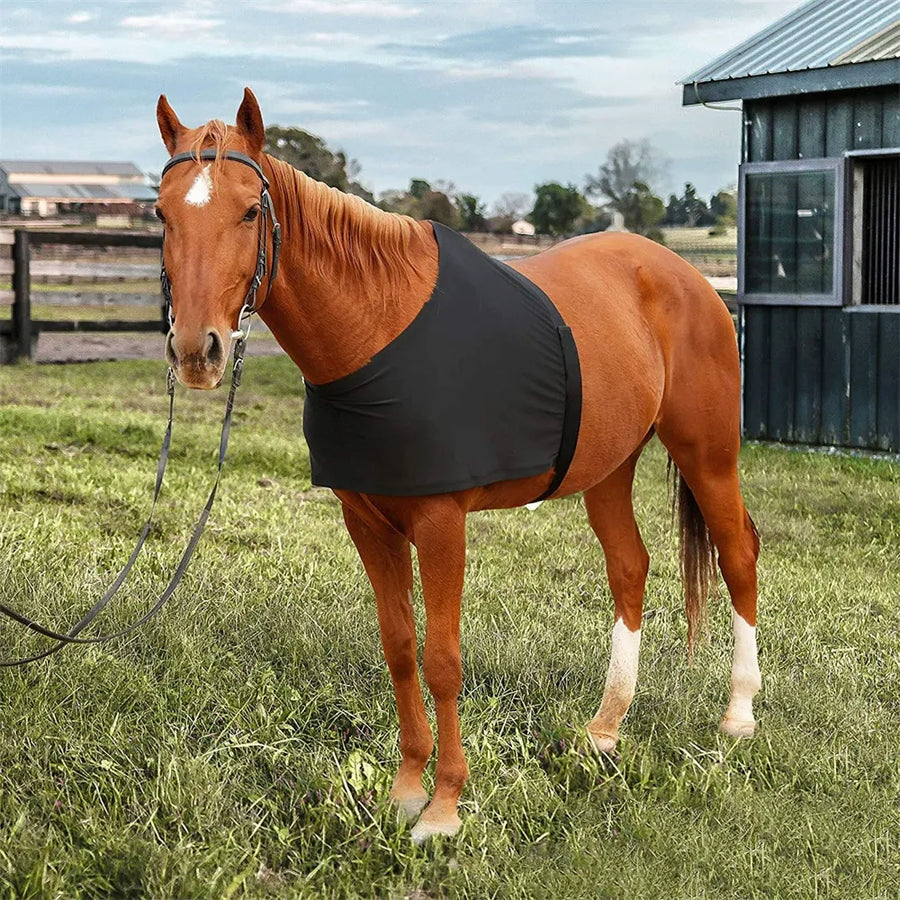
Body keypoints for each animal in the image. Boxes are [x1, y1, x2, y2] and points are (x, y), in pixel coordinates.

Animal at [155, 88, 761, 842]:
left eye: (247, 210)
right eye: (162, 212)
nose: (196, 351)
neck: (378, 329)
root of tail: (687, 277)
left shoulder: (442, 524)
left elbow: (442, 660)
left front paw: (443, 808)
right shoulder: (368, 523)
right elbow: (399, 648)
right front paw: (406, 790)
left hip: (708, 455)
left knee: (738, 555)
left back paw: (738, 716)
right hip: (608, 470)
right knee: (630, 567)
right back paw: (604, 730)